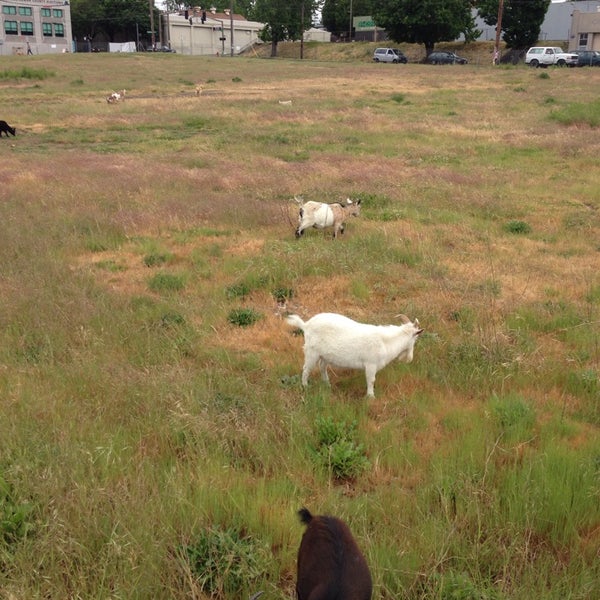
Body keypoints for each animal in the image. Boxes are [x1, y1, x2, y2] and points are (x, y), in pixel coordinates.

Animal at [286, 312, 422, 396]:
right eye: (415, 339)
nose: (409, 359)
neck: (385, 342)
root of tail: (306, 325)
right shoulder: (371, 364)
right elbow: (371, 380)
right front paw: (371, 397)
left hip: (324, 355)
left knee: (322, 367)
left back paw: (327, 384)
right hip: (312, 352)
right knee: (306, 369)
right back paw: (305, 386)